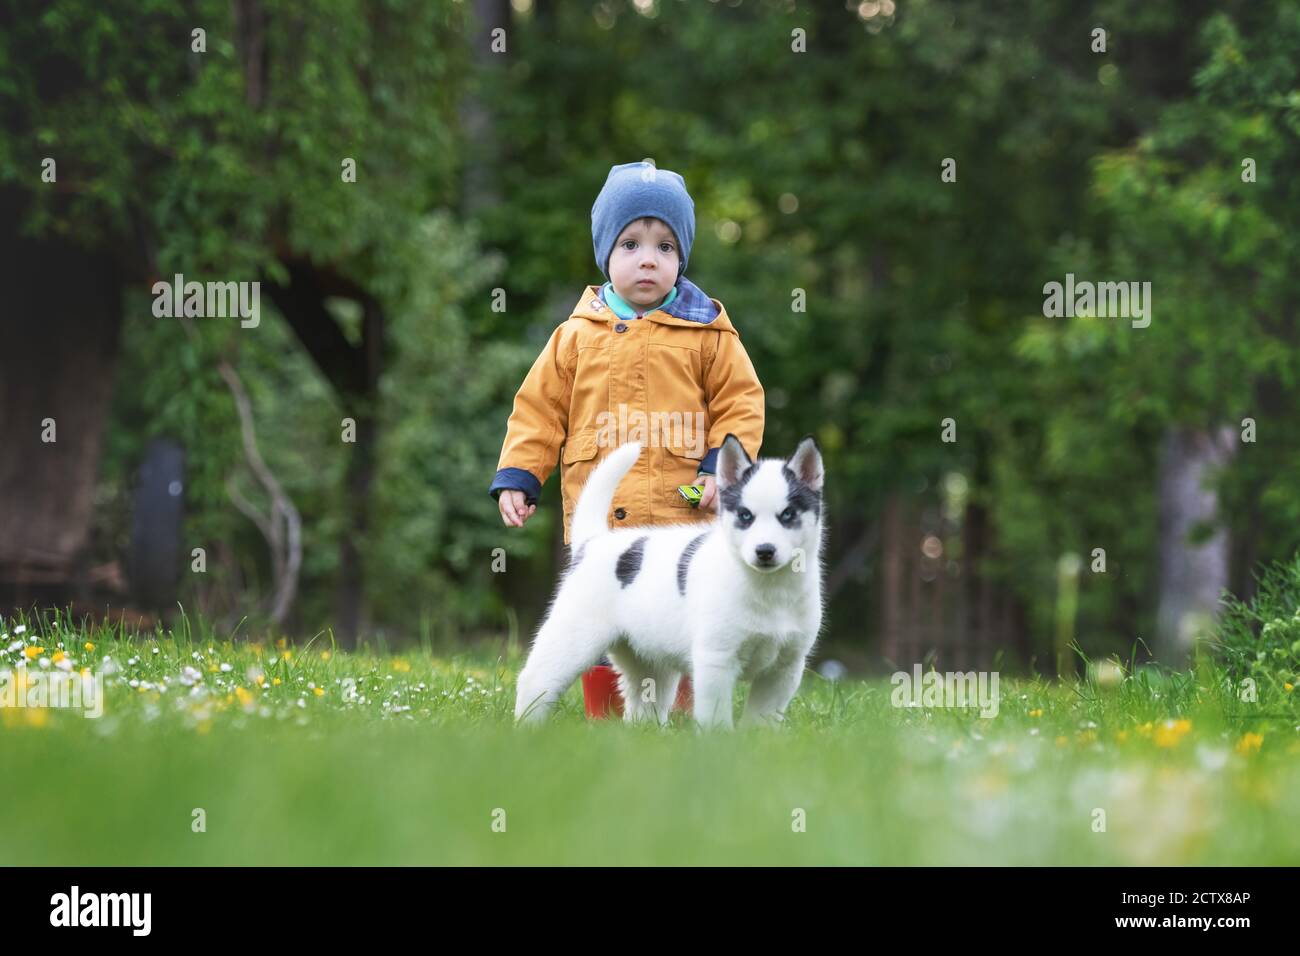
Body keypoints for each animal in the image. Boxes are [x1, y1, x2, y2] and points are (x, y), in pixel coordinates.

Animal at [514, 434, 826, 733]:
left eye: (788, 515)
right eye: (745, 516)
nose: (764, 551)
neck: (769, 588)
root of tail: (594, 541)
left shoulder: (785, 669)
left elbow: (763, 717)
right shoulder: (715, 661)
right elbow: (716, 717)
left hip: (648, 659)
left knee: (642, 702)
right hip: (572, 639)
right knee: (535, 680)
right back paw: (525, 731)